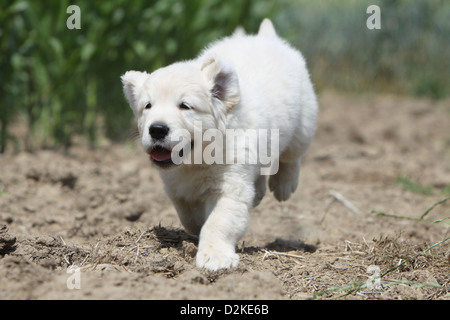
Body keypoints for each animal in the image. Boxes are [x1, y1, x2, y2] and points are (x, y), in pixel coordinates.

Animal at [119, 19, 316, 270]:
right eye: (147, 106)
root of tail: (265, 37)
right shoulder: (175, 186)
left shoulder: (230, 185)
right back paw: (259, 193)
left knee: (292, 154)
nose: (157, 129)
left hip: (304, 122)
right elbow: (189, 216)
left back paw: (284, 185)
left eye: (185, 106)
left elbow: (217, 222)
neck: (197, 160)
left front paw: (215, 257)